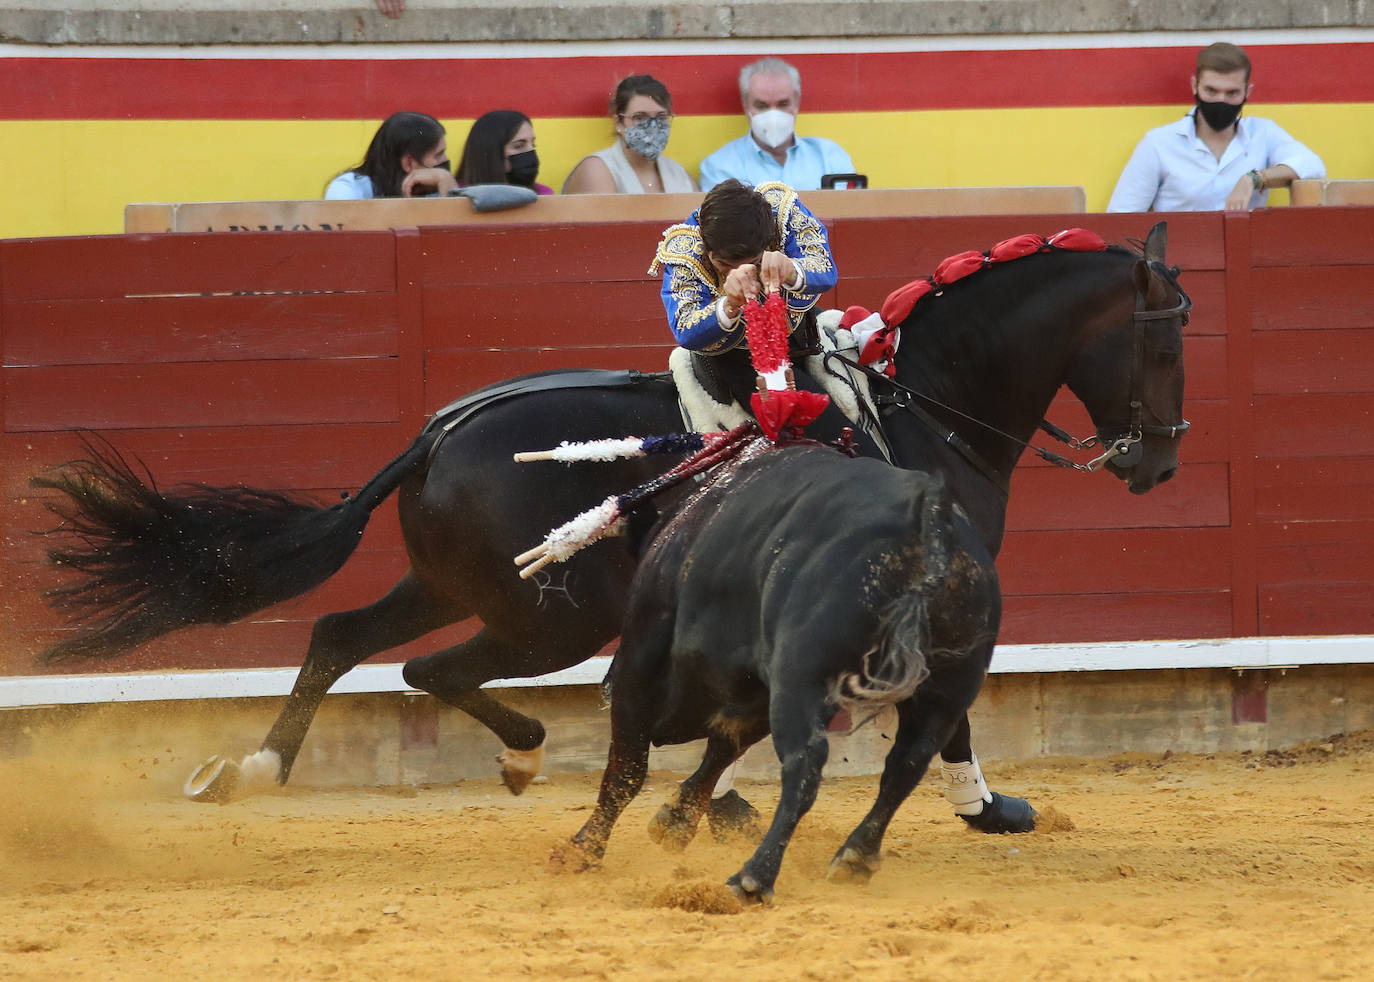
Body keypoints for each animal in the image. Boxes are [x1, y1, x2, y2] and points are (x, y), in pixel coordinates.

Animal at [37, 221, 1187, 824]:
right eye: (1167, 344)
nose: (1162, 460)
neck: (922, 403)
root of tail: (436, 434)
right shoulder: (928, 594)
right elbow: (949, 710)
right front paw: (986, 805)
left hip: (458, 584)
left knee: (343, 637)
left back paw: (256, 768)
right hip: (556, 616)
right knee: (427, 667)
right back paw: (524, 754)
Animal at [555, 444, 1000, 906]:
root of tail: (929, 520)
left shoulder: (639, 662)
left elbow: (627, 769)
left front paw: (582, 851)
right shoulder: (753, 692)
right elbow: (720, 749)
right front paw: (675, 820)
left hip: (800, 677)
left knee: (806, 762)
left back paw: (753, 877)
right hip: (946, 692)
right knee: (907, 763)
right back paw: (854, 858)